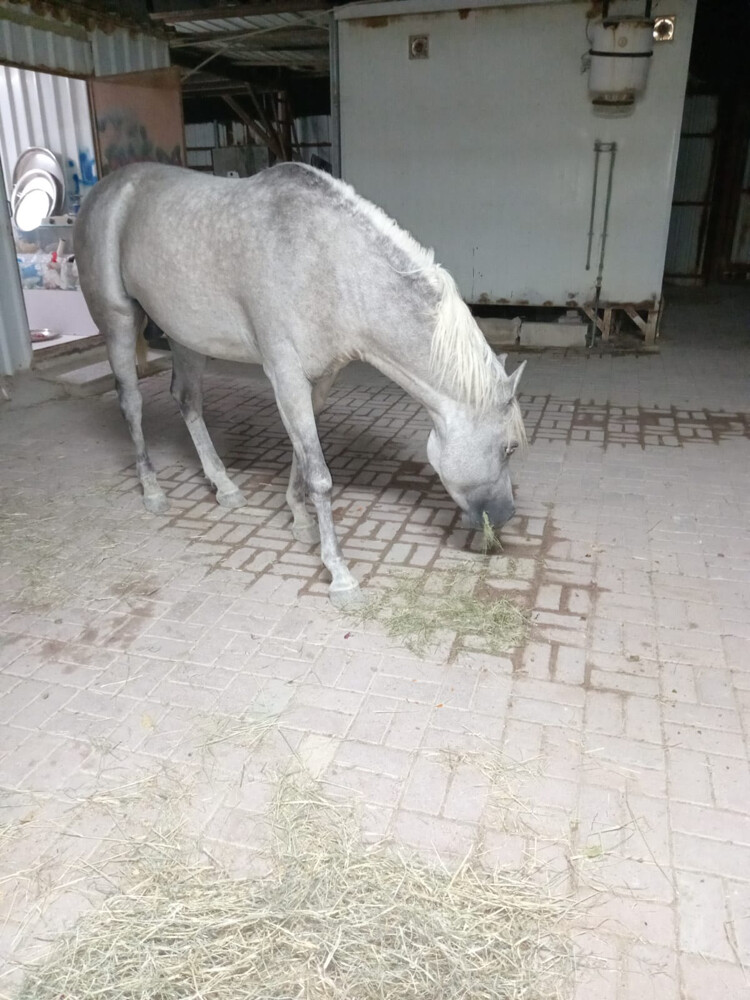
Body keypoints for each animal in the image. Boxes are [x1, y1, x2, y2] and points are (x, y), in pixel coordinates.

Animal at [74, 162, 526, 606]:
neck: (327, 264)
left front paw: (300, 519)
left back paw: (224, 486)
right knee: (131, 403)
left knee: (187, 401)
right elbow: (320, 475)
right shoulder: (286, 375)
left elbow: (301, 457)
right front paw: (340, 576)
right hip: (119, 322)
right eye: (509, 447)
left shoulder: (319, 379)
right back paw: (152, 490)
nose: (505, 516)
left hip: (185, 336)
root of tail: (104, 190)